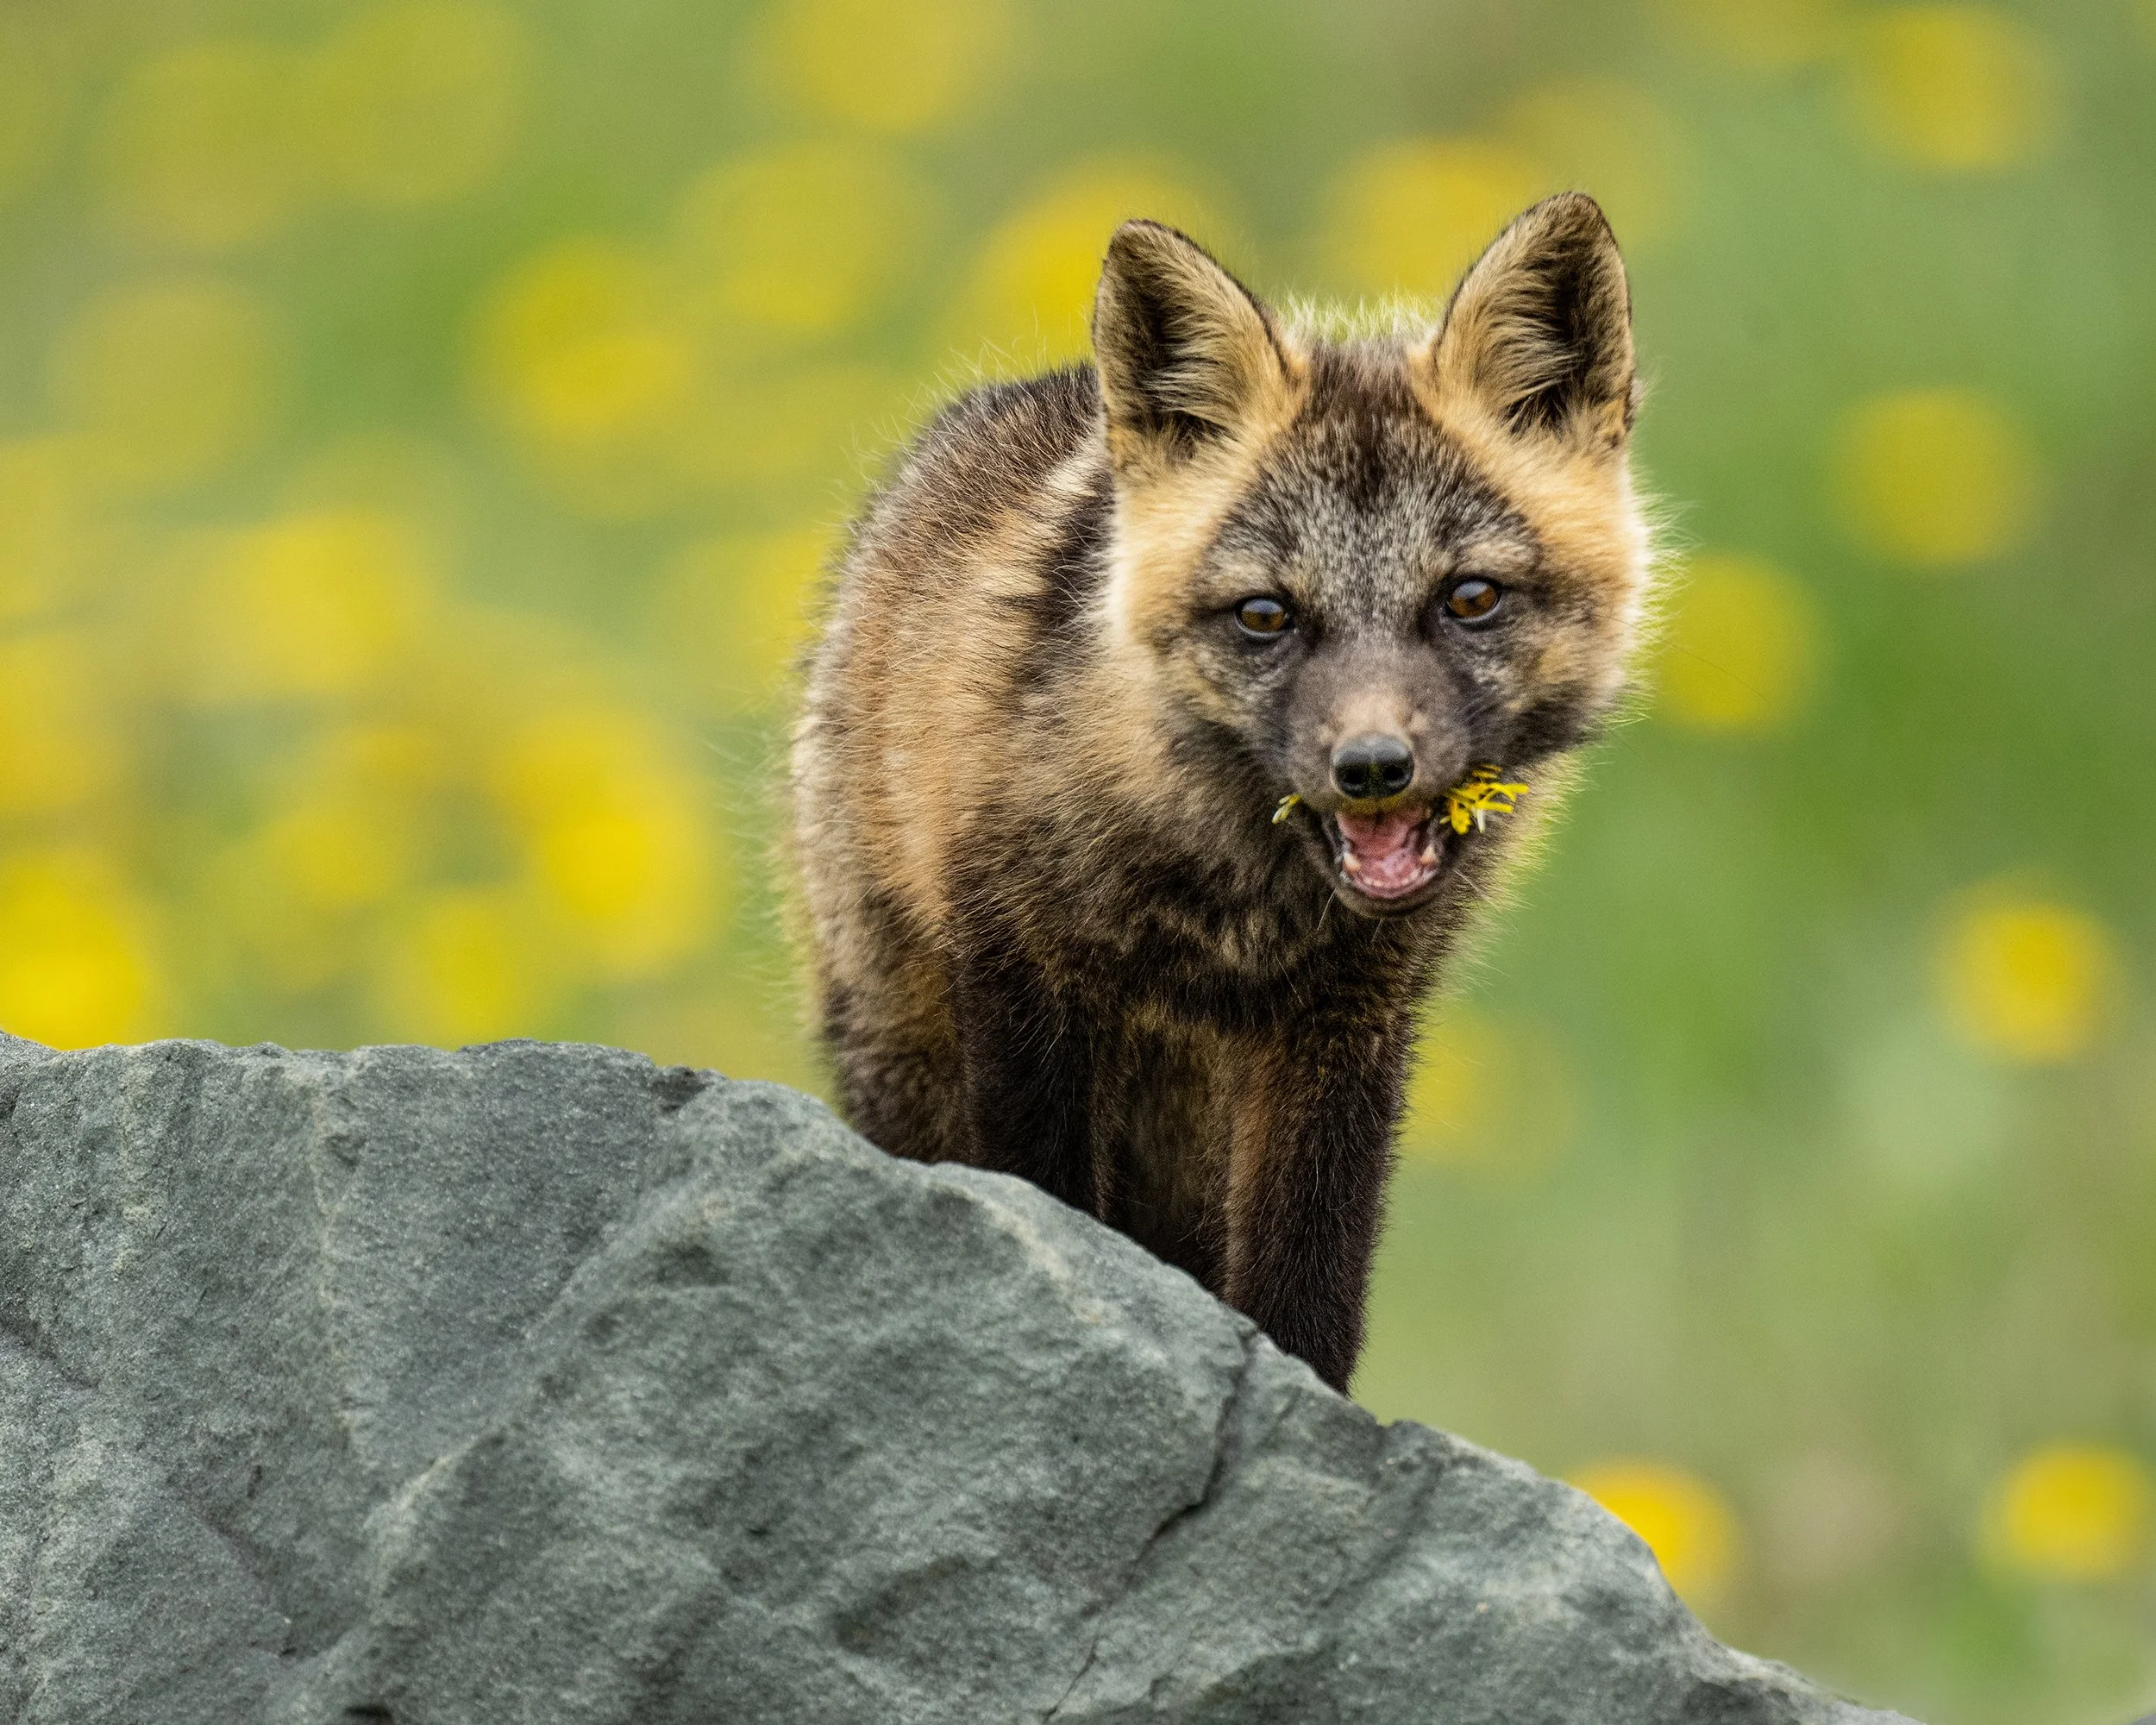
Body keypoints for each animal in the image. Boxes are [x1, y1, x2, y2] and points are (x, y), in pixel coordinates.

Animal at [792, 193, 1651, 1392]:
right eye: (1264, 615)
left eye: (1469, 598)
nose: (1372, 766)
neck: (1231, 900)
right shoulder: (1024, 974)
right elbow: (1049, 1201)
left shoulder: (1347, 1025)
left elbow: (1311, 1281)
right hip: (901, 1037)